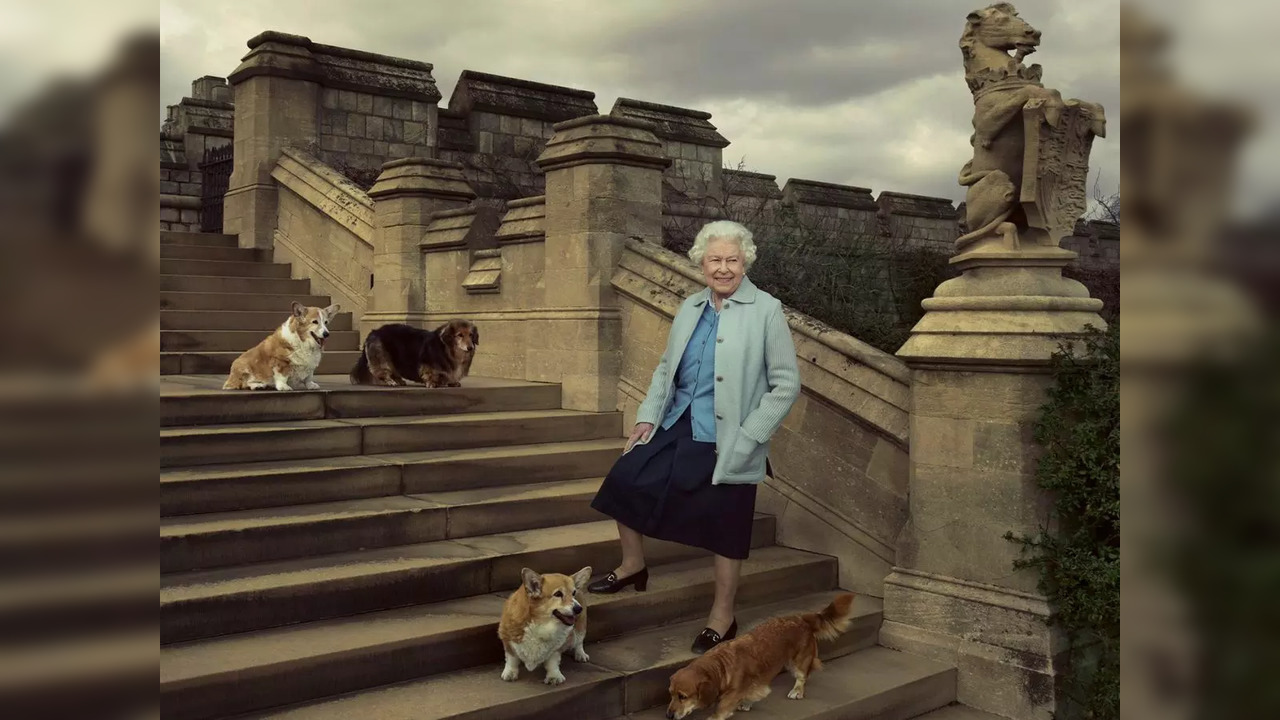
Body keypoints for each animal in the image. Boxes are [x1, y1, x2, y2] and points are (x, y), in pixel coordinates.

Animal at [350, 319, 481, 386]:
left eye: (471, 335)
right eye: (459, 335)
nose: (470, 347)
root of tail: (373, 332)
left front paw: (452, 383)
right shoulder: (429, 366)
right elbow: (431, 375)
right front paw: (433, 383)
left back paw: (399, 381)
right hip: (383, 360)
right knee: (382, 372)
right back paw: (391, 381)